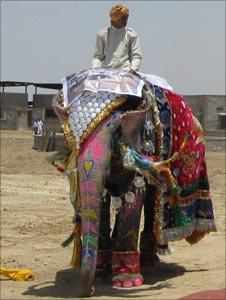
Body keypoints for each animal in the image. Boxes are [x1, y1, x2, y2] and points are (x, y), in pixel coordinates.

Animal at [50, 68, 216, 298]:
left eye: (116, 132)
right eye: (72, 136)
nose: (90, 291)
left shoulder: (142, 145)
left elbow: (134, 196)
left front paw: (126, 281)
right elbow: (101, 201)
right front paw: (101, 271)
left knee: (151, 203)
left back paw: (149, 261)